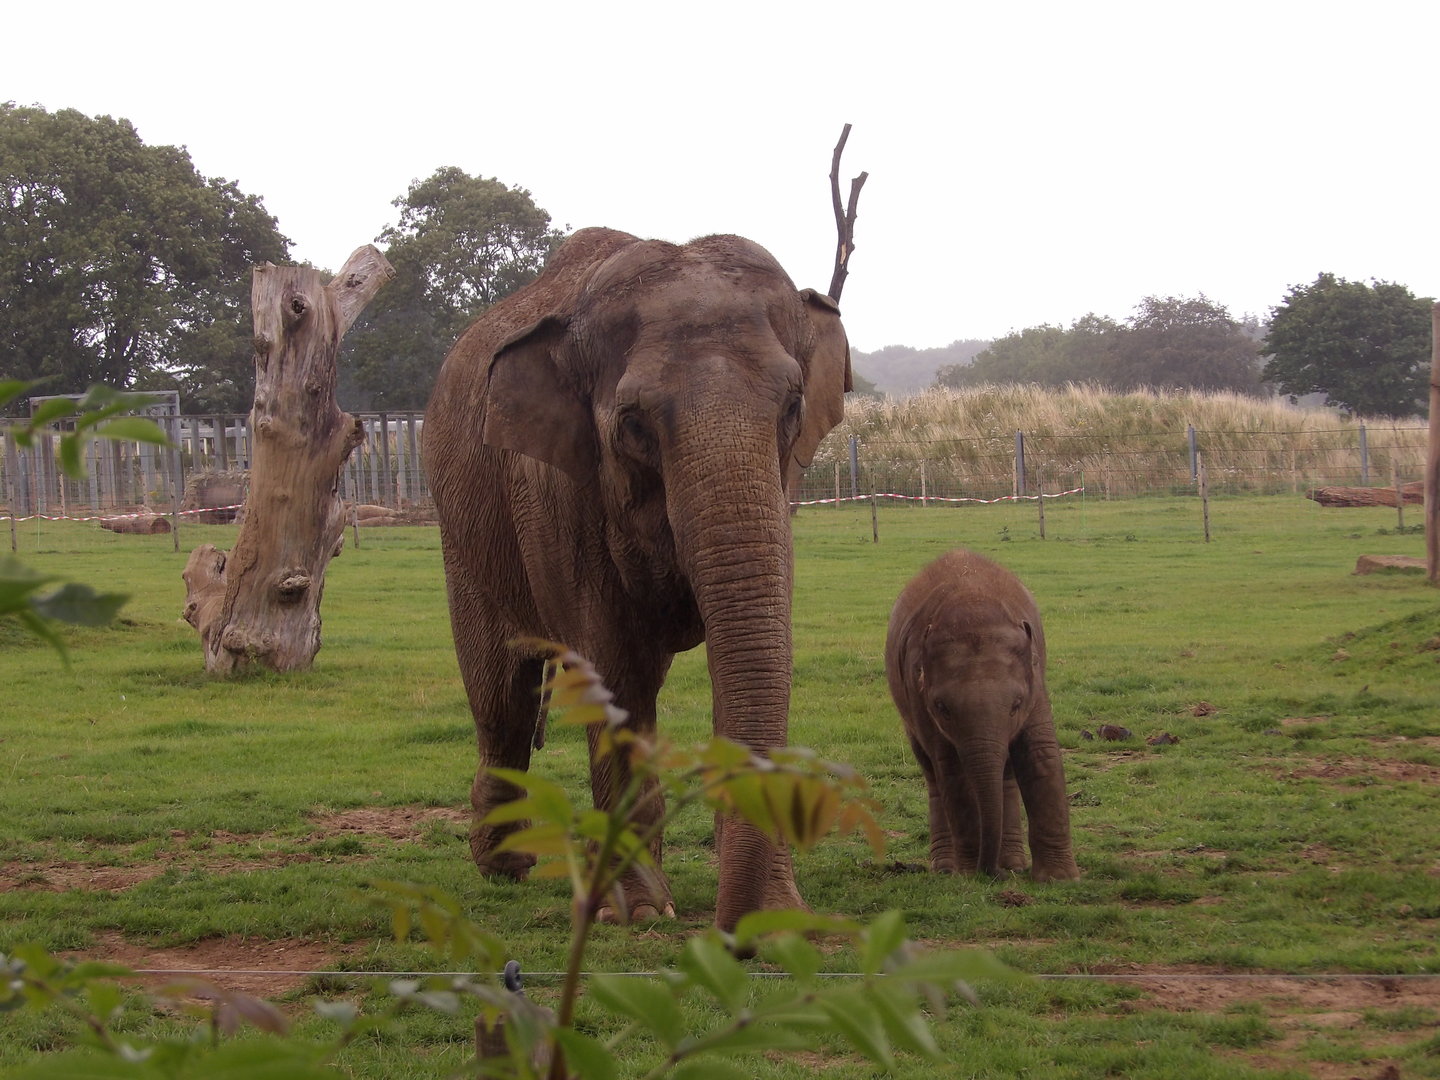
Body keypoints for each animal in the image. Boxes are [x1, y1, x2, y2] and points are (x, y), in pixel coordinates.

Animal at [422, 227, 852, 931]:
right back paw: (505, 866)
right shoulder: (560, 492)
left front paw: (780, 913)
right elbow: (614, 666)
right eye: (632, 424)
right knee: (501, 693)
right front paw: (639, 914)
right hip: (462, 529)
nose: (735, 930)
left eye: (793, 405)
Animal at [884, 549, 1080, 883]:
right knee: (932, 773)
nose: (991, 873)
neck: (973, 604)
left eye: (1016, 704)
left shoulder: (1036, 683)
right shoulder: (918, 697)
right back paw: (947, 868)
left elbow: (1039, 754)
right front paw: (968, 875)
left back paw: (1013, 863)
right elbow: (951, 770)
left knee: (1007, 773)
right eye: (942, 707)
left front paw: (1059, 879)